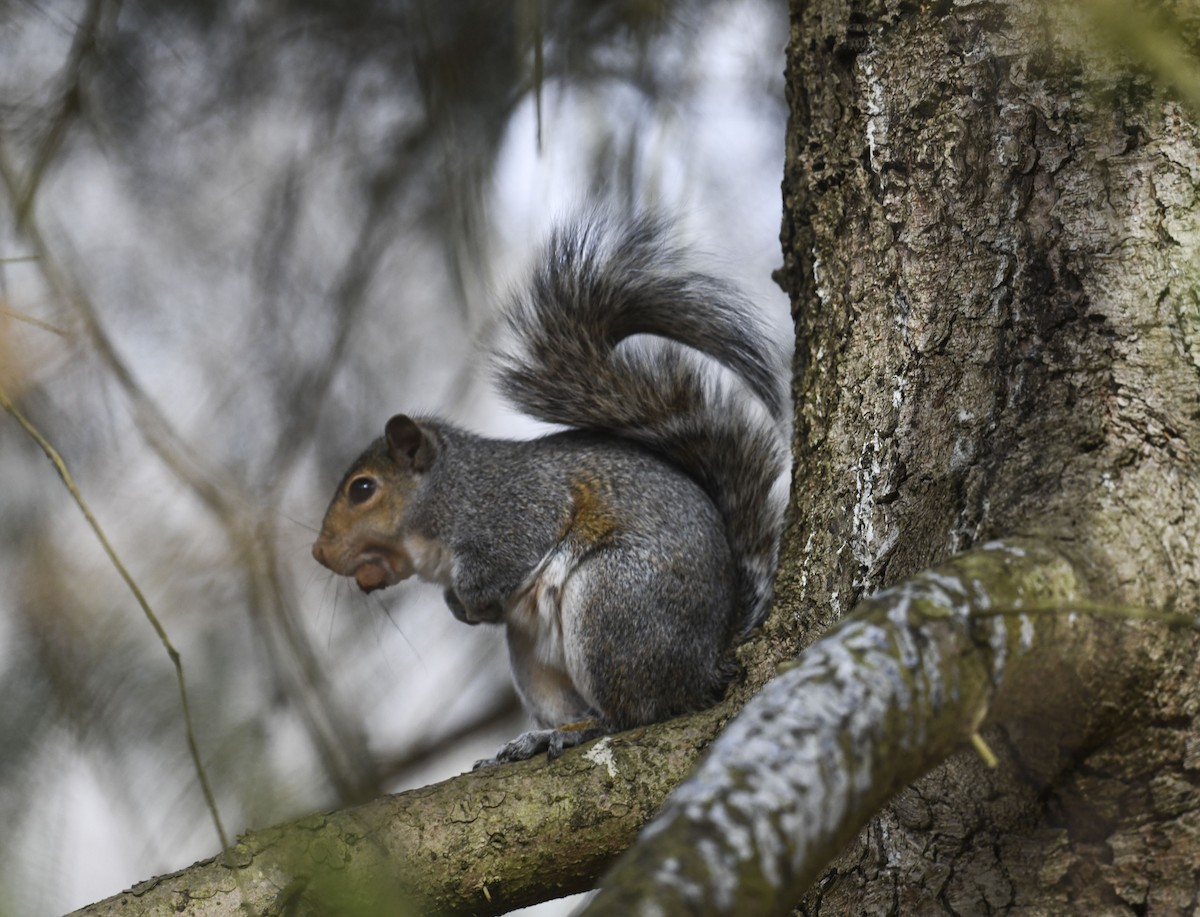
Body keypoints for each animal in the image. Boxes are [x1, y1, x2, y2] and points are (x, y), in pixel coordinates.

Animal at [311, 211, 791, 767]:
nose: (320, 553)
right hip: (534, 661)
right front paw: (458, 607)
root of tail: (711, 661)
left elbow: (508, 556)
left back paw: (588, 728)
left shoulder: (512, 508)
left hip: (613, 605)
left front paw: (469, 600)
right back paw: (541, 735)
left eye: (363, 489)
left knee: (639, 711)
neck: (449, 493)